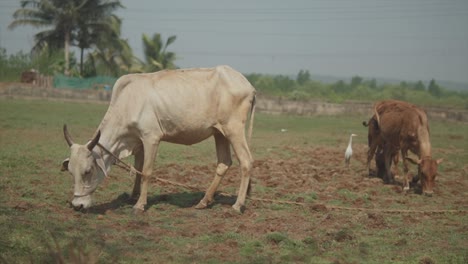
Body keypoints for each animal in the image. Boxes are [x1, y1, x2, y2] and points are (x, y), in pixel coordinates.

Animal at [61, 65, 256, 212]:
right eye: (70, 171)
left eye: (87, 171)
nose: (77, 205)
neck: (128, 101)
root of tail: (248, 85)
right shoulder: (138, 141)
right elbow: (138, 168)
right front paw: (133, 196)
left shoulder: (151, 138)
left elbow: (146, 172)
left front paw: (140, 205)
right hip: (219, 132)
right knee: (224, 163)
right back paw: (204, 201)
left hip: (234, 129)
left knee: (246, 162)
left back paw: (237, 204)